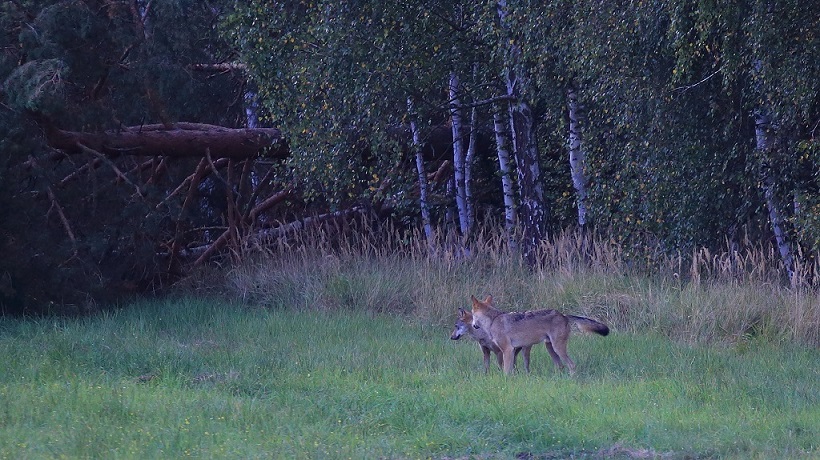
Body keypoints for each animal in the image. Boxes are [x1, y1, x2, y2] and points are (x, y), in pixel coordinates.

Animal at [469, 295, 609, 375]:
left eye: (472, 315)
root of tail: (563, 315)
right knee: (561, 366)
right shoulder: (512, 351)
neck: (493, 320)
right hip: (550, 348)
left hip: (557, 348)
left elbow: (506, 372)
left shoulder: (508, 350)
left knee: (571, 365)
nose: (473, 325)